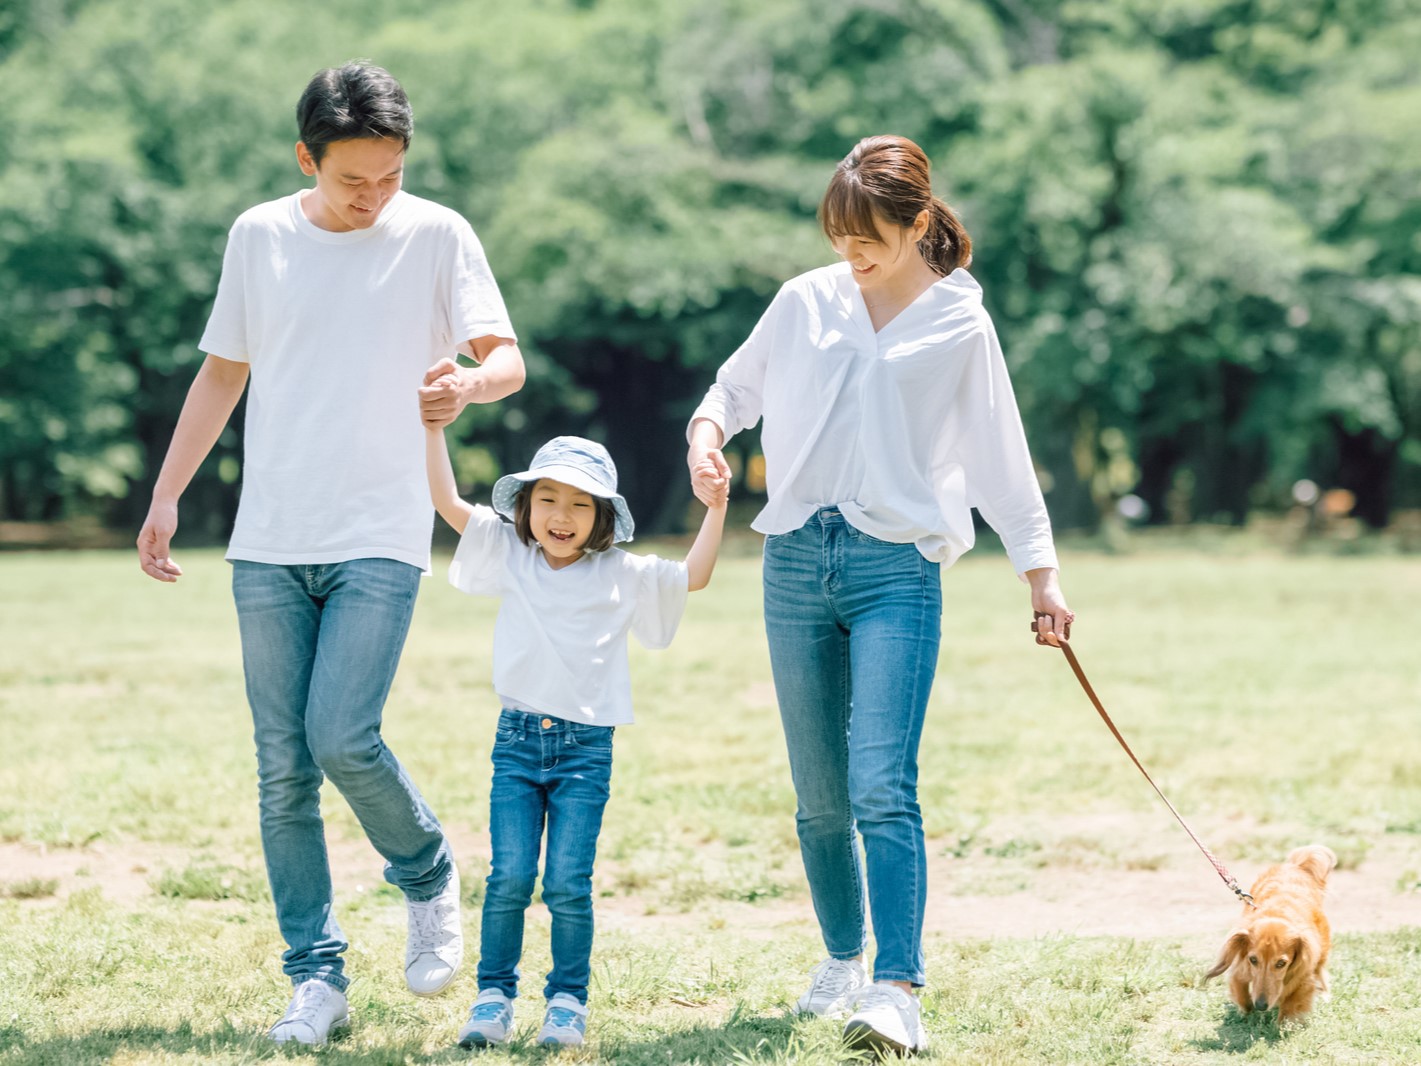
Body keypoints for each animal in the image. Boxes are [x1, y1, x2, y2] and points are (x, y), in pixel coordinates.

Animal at [1205, 841, 1335, 1029]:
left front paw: (1283, 1024)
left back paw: (1324, 993)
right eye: (1253, 960)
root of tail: (1295, 866)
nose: (1260, 1006)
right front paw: (1247, 1012)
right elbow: (1242, 994)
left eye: (1281, 963)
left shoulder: (1304, 973)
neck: (1278, 913)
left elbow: (1292, 1003)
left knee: (1321, 971)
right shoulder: (1241, 968)